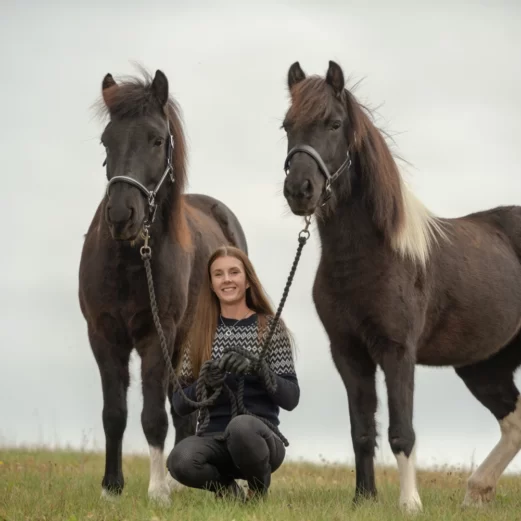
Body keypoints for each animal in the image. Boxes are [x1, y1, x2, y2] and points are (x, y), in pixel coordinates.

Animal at [78, 68, 247, 504]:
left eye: (156, 139)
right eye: (106, 140)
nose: (121, 215)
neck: (130, 260)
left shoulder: (158, 335)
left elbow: (153, 414)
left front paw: (157, 491)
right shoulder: (102, 336)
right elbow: (114, 414)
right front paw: (111, 489)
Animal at [282, 59, 520, 510]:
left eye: (334, 123)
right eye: (287, 126)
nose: (299, 190)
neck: (373, 256)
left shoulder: (397, 351)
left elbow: (401, 430)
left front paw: (410, 504)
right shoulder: (348, 353)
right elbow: (362, 430)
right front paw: (364, 499)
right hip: (483, 364)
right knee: (514, 421)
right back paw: (475, 492)